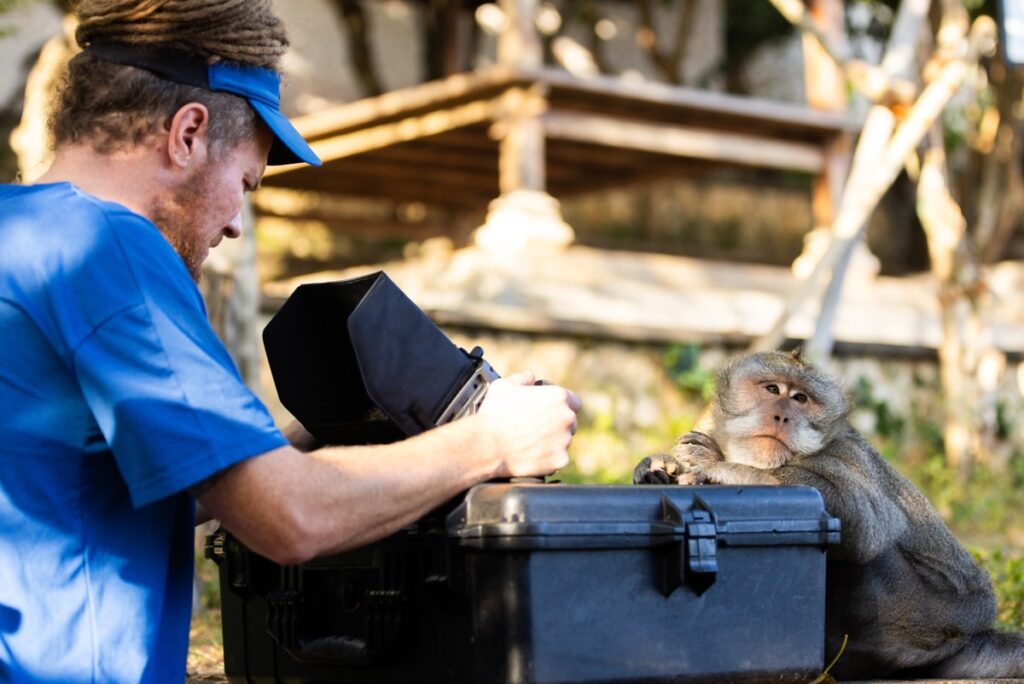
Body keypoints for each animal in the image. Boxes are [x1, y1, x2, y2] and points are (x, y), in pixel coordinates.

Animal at [634, 349, 1024, 680]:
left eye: (800, 399)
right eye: (772, 389)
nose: (781, 415)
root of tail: (975, 633)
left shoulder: (842, 454)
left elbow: (866, 520)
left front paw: (724, 467)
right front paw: (657, 466)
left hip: (919, 619)